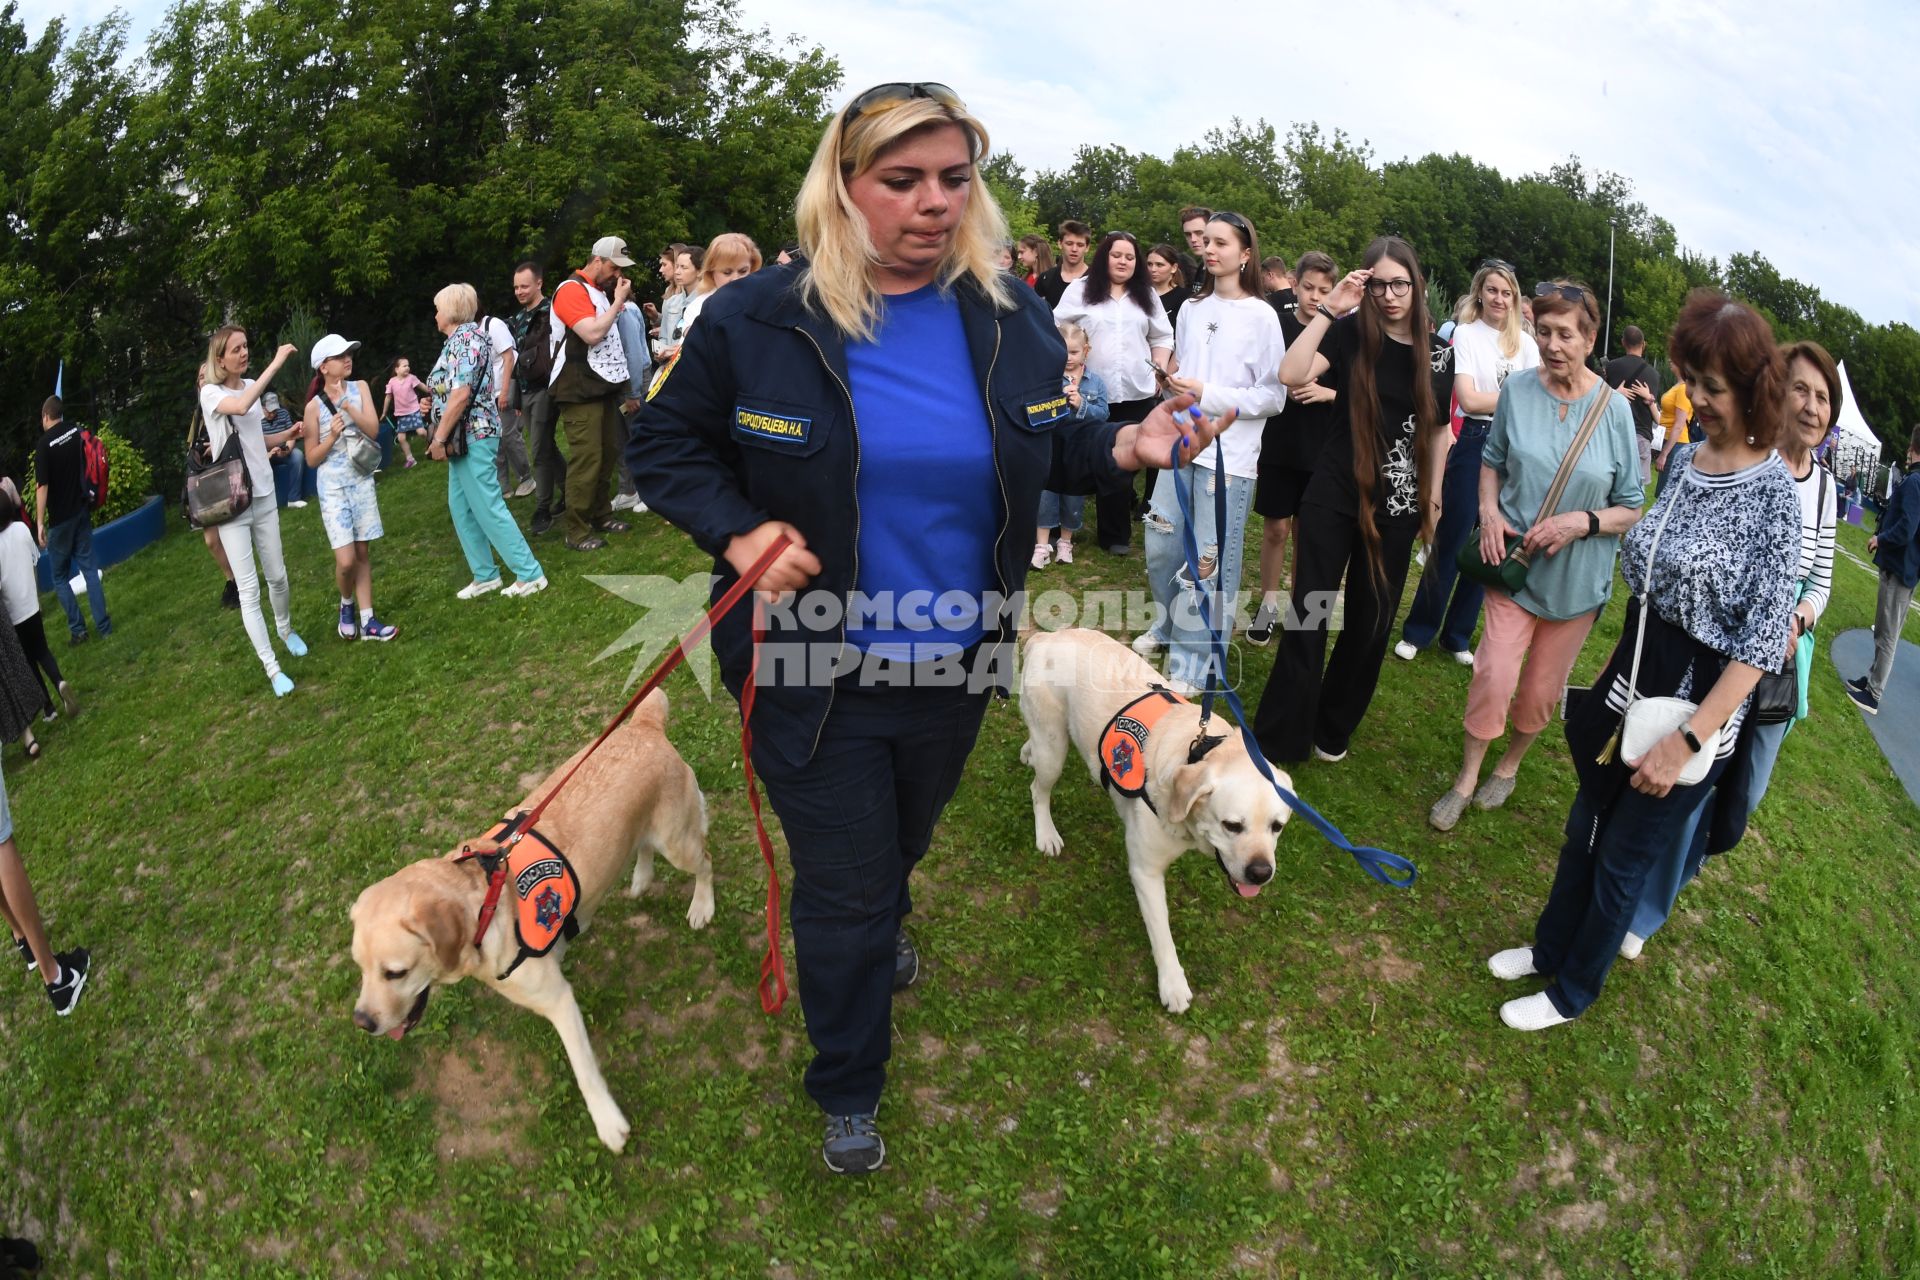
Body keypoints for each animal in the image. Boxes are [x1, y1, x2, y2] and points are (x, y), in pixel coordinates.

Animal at [347, 690, 714, 1151]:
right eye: (360, 969)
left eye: (395, 972)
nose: (362, 1022)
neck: (485, 903)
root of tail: (644, 724)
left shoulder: (559, 1000)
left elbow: (584, 1070)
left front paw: (607, 1122)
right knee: (643, 848)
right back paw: (641, 878)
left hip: (677, 841)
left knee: (706, 861)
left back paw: (702, 905)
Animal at [1021, 629, 1290, 1013]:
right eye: (1231, 825)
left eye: (1277, 827)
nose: (1261, 873)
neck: (1196, 752)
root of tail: (1047, 636)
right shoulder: (1146, 872)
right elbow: (1162, 934)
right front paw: (1173, 985)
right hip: (1054, 750)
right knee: (1038, 790)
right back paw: (1046, 834)